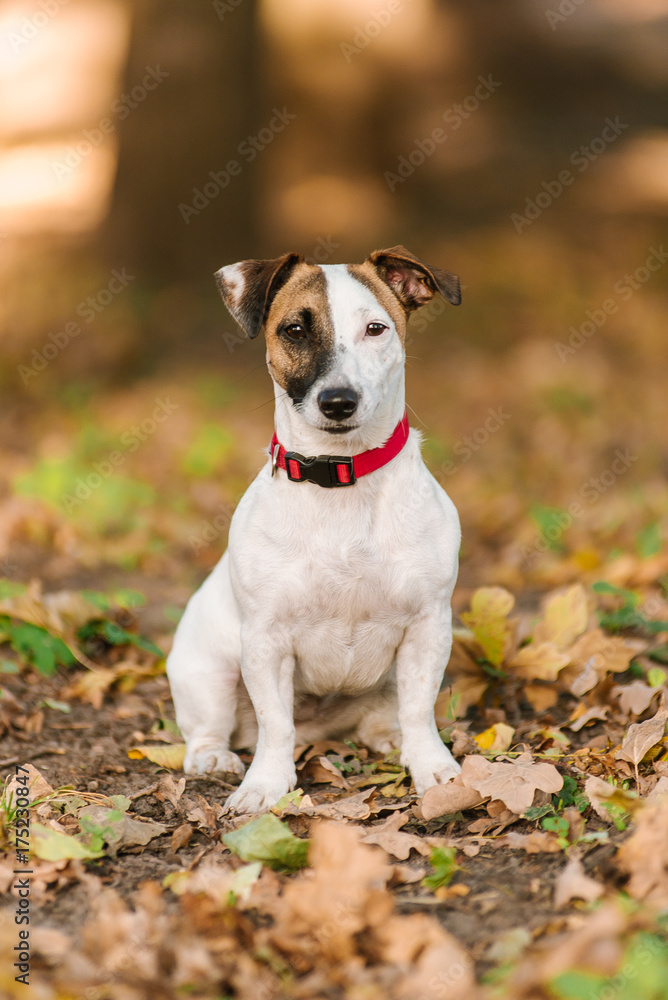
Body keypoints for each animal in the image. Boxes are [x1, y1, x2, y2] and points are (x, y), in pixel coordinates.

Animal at [166, 244, 464, 812]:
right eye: (295, 330)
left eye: (376, 328)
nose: (338, 401)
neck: (340, 479)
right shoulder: (265, 640)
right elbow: (274, 724)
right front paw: (265, 785)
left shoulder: (428, 626)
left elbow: (419, 709)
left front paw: (432, 768)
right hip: (208, 670)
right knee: (215, 728)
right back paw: (214, 757)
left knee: (387, 713)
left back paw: (387, 736)